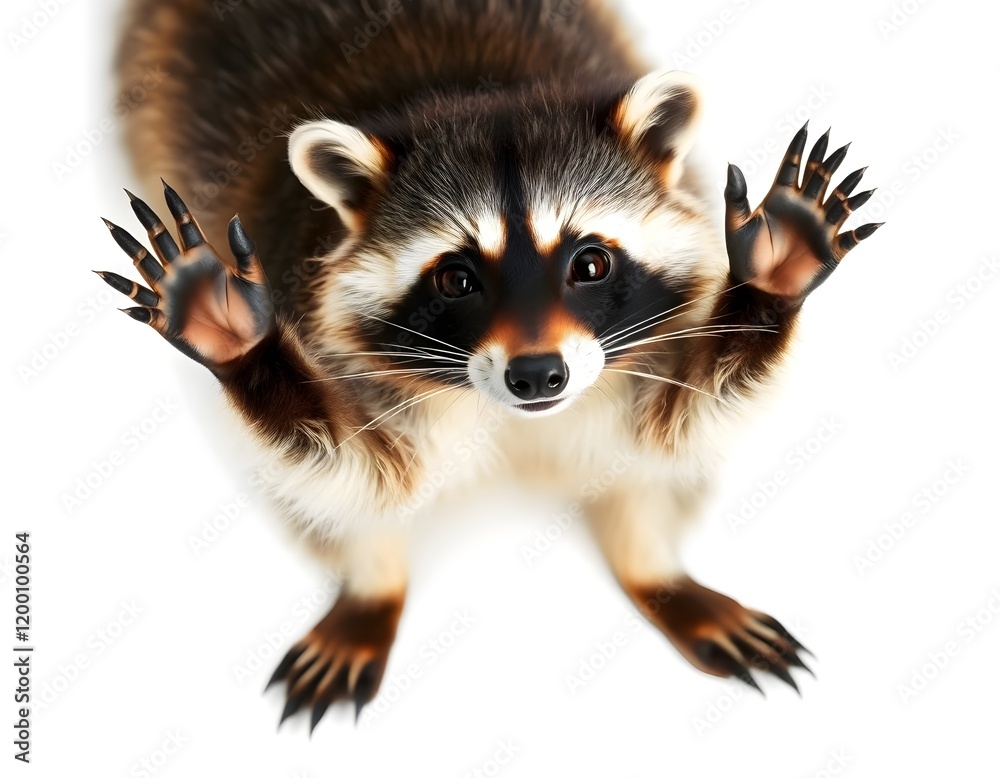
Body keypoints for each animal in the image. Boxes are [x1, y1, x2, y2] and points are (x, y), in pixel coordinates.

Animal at [100, 0, 881, 729]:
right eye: (457, 280)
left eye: (589, 263)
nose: (536, 375)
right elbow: (352, 472)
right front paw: (242, 342)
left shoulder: (653, 348)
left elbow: (677, 431)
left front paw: (771, 280)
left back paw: (651, 566)